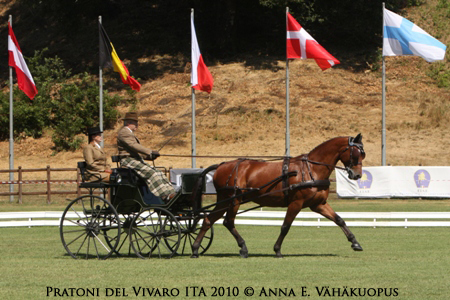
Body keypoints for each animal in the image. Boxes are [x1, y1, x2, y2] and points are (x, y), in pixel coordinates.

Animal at [191, 134, 366, 258]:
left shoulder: (318, 204)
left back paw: (195, 249)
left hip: (224, 200)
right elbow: (285, 226)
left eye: (362, 154)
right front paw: (277, 250)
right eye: (356, 154)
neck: (311, 169)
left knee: (208, 220)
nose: (357, 175)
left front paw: (355, 243)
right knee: (228, 221)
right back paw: (243, 248)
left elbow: (339, 220)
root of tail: (221, 165)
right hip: (234, 200)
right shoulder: (296, 203)